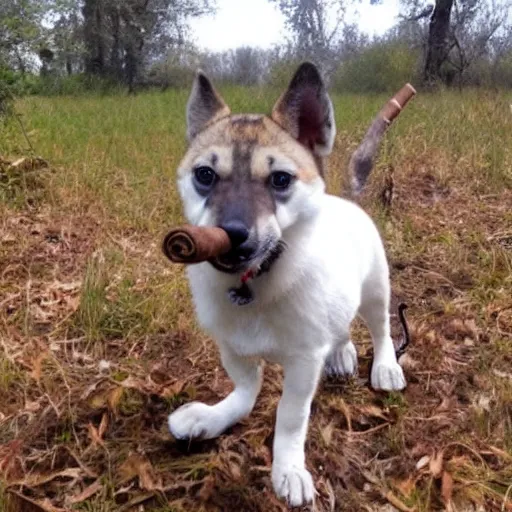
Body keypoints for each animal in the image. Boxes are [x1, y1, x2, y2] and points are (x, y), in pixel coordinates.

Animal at [170, 62, 406, 506]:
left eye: (280, 179)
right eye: (204, 175)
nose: (233, 234)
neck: (259, 280)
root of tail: (347, 201)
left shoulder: (302, 365)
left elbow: (290, 417)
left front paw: (288, 468)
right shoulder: (233, 350)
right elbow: (245, 391)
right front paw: (213, 417)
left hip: (375, 291)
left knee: (381, 328)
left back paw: (384, 365)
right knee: (341, 326)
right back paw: (341, 351)